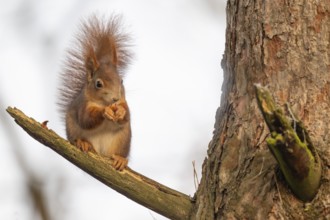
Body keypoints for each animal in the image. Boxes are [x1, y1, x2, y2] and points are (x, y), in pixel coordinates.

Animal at [58, 15, 131, 170]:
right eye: (98, 84)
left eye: (121, 81)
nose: (115, 99)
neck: (103, 102)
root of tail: (101, 152)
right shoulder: (83, 105)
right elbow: (86, 119)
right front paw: (105, 112)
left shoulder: (124, 101)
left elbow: (127, 115)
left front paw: (121, 111)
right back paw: (83, 143)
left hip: (122, 140)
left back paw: (120, 159)